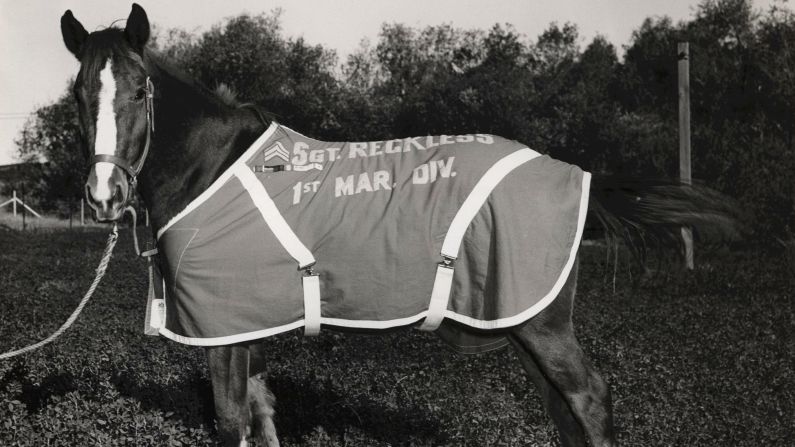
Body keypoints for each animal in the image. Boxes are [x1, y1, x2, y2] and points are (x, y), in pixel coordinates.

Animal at [60, 4, 740, 447]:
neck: (213, 168)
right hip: (521, 321)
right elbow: (263, 415)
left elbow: (232, 423)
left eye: (139, 90)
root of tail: (575, 173)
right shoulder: (249, 327)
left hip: (540, 324)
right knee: (563, 409)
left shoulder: (223, 332)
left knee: (589, 400)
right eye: (78, 95)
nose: (103, 195)